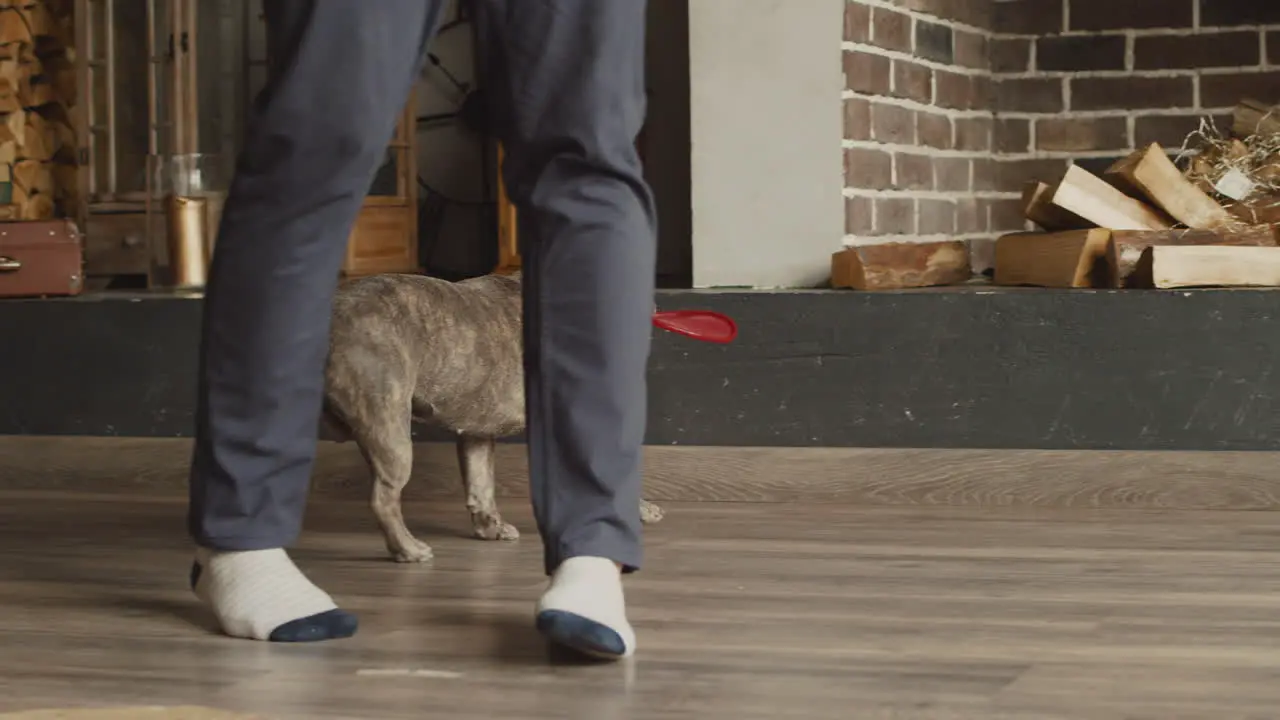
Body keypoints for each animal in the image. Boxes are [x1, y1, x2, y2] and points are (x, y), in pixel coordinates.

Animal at [320, 269, 665, 561]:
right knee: (384, 497)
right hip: (391, 431)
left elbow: (480, 483)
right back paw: (408, 548)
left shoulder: (477, 433)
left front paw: (491, 528)